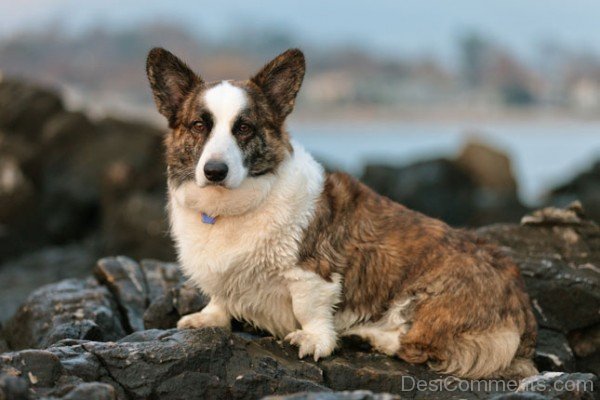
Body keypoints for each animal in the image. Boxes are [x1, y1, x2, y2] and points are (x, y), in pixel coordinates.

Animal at [146, 47, 540, 378]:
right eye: (199, 125)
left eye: (244, 128)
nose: (214, 171)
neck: (233, 207)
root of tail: (523, 316)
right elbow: (220, 298)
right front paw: (207, 318)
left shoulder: (313, 272)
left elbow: (310, 309)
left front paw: (314, 340)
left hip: (427, 299)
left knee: (418, 344)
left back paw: (369, 337)